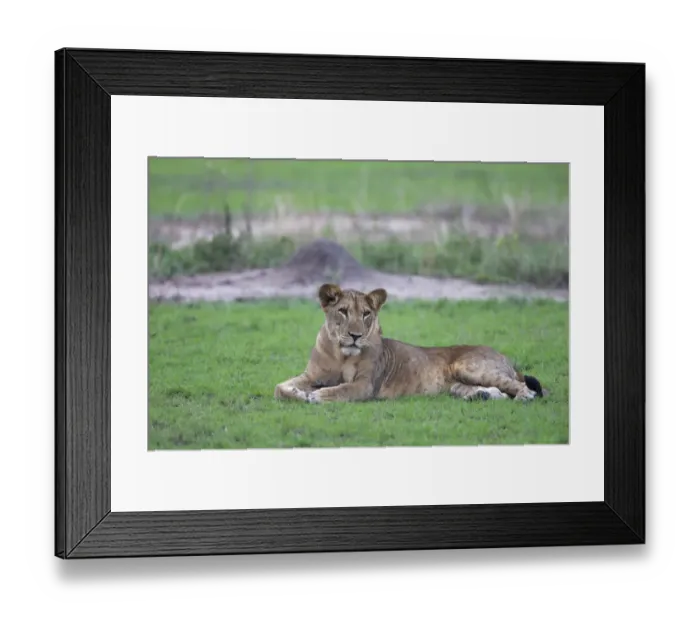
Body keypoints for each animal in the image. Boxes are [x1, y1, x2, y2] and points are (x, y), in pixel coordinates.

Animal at [274, 283, 547, 404]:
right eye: (342, 311)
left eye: (366, 314)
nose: (355, 335)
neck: (340, 354)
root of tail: (504, 357)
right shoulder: (311, 375)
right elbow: (280, 388)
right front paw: (299, 392)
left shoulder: (365, 385)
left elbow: (340, 390)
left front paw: (316, 395)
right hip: (458, 384)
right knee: (498, 393)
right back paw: (481, 395)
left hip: (469, 367)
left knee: (523, 387)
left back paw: (524, 396)